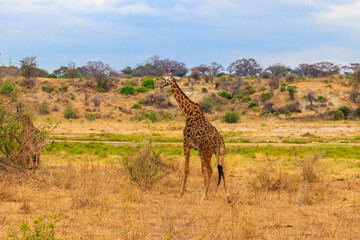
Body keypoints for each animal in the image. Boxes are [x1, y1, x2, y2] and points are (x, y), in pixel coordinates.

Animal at [160, 69, 231, 202]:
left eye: (165, 79)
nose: (160, 85)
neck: (187, 112)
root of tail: (218, 140)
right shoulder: (199, 149)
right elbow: (202, 170)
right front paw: (206, 193)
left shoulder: (186, 143)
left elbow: (187, 168)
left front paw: (181, 192)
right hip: (220, 152)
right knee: (222, 169)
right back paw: (227, 196)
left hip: (207, 152)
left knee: (211, 170)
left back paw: (203, 198)